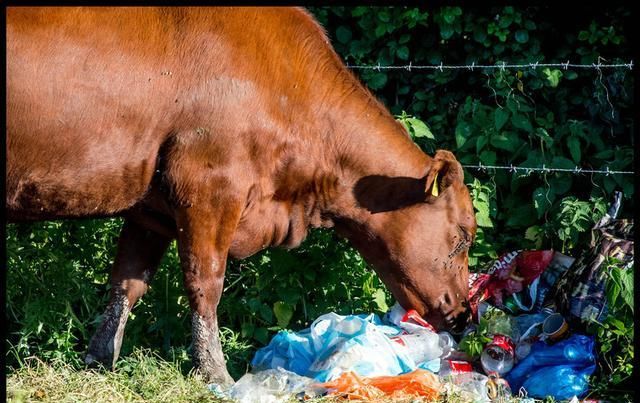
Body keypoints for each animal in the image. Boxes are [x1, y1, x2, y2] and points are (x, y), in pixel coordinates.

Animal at [5, 7, 476, 386]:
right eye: (463, 236)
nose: (466, 313)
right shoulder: (210, 189)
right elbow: (205, 284)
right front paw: (215, 373)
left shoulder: (150, 208)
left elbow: (127, 283)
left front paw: (98, 363)